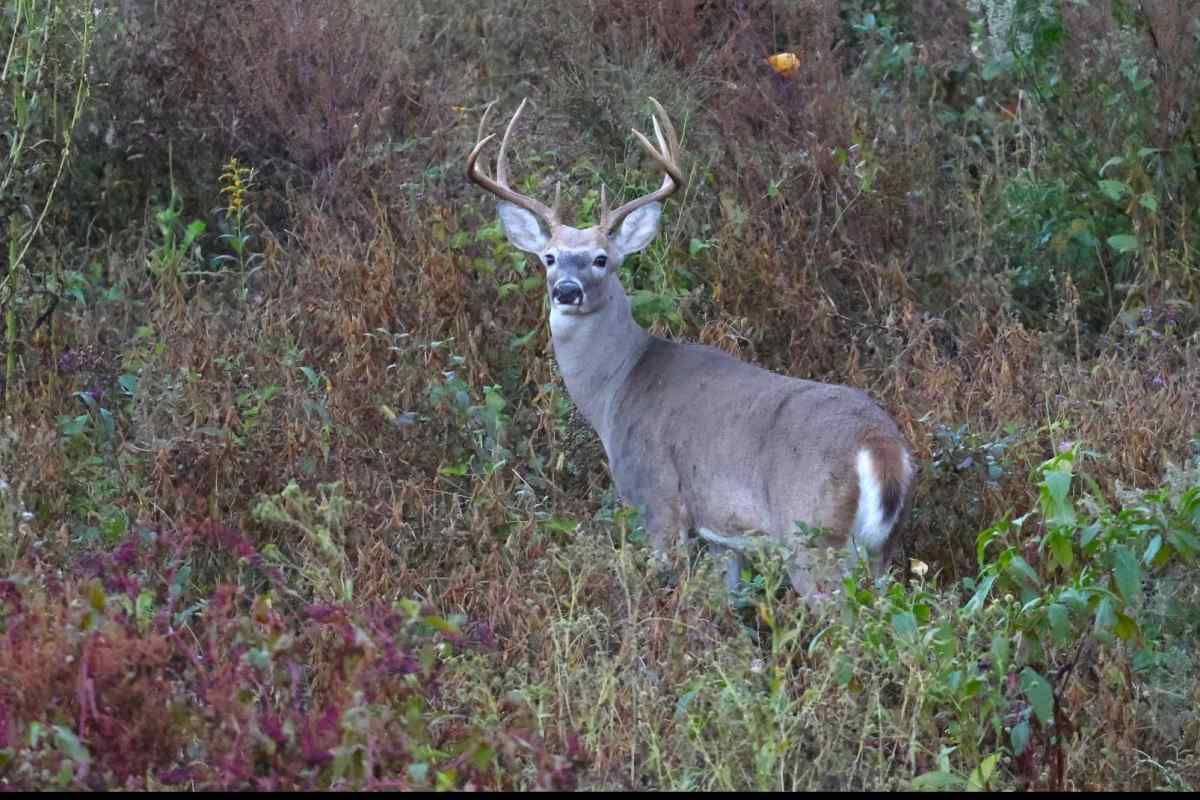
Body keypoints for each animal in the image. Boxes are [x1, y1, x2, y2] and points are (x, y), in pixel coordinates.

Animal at [466, 97, 916, 600]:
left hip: (812, 535)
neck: (618, 386)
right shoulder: (721, 534)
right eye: (549, 257)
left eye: (601, 259)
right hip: (879, 550)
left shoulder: (656, 497)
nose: (566, 290)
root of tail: (881, 448)